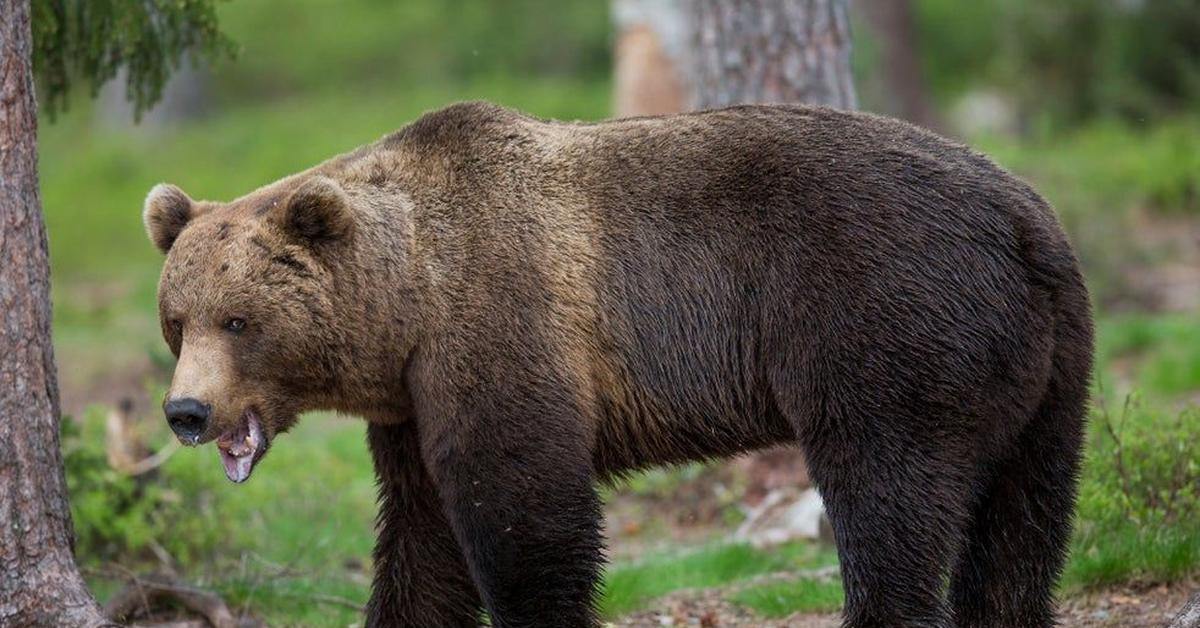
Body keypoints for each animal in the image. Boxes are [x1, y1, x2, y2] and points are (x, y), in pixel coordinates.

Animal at [145, 100, 1094, 624]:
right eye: (176, 321)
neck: (408, 302)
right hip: (1044, 368)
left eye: (239, 319)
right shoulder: (414, 405)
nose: (186, 412)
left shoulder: (503, 323)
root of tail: (1026, 217)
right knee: (1022, 526)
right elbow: (422, 540)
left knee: (890, 497)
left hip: (883, 324)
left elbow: (525, 516)